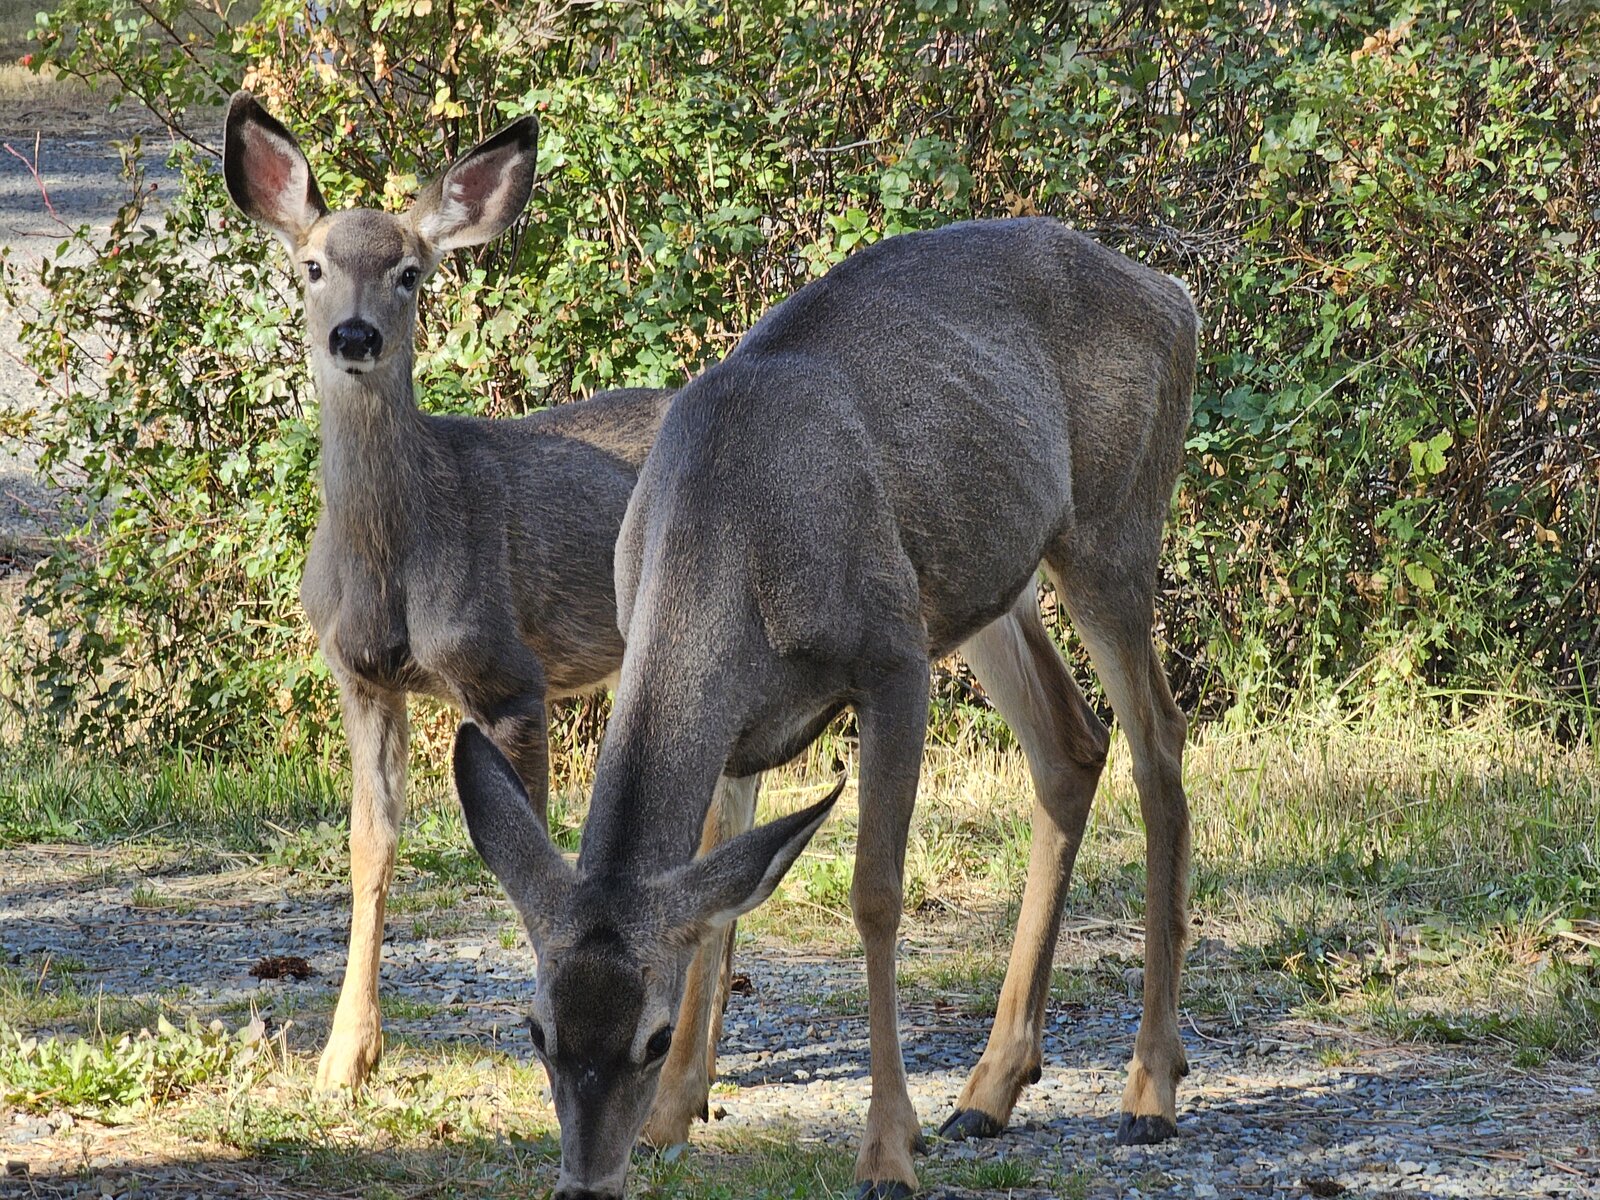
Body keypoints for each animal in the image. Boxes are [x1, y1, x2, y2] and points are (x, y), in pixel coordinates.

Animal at [221, 91, 758, 1147]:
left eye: (410, 271)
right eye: (313, 265)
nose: (355, 337)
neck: (396, 554)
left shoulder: (509, 673)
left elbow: (526, 856)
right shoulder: (362, 677)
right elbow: (371, 846)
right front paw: (344, 1062)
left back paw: (680, 1091)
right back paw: (696, 1083)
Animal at [453, 215, 1200, 1199]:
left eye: (650, 1035)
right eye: (536, 1029)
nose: (586, 1181)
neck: (724, 540)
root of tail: (1174, 295)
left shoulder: (892, 658)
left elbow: (874, 894)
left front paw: (886, 1149)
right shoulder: (739, 736)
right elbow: (715, 905)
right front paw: (672, 1119)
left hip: (1110, 530)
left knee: (1159, 740)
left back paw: (1150, 1086)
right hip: (980, 585)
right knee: (1070, 744)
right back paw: (990, 1089)